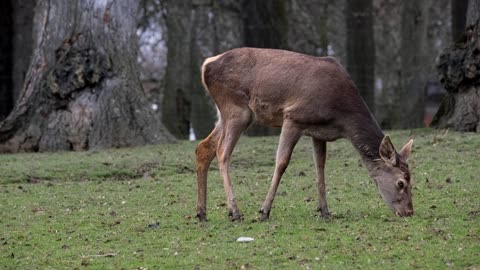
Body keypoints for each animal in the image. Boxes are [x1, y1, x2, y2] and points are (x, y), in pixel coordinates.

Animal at [195, 48, 412, 221]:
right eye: (401, 182)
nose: (409, 212)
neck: (342, 118)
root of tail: (206, 65)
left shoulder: (319, 132)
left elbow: (320, 166)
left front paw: (325, 211)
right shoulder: (293, 117)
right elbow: (282, 163)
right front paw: (264, 211)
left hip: (227, 114)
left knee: (203, 148)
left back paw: (202, 212)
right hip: (237, 109)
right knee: (222, 152)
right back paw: (235, 211)